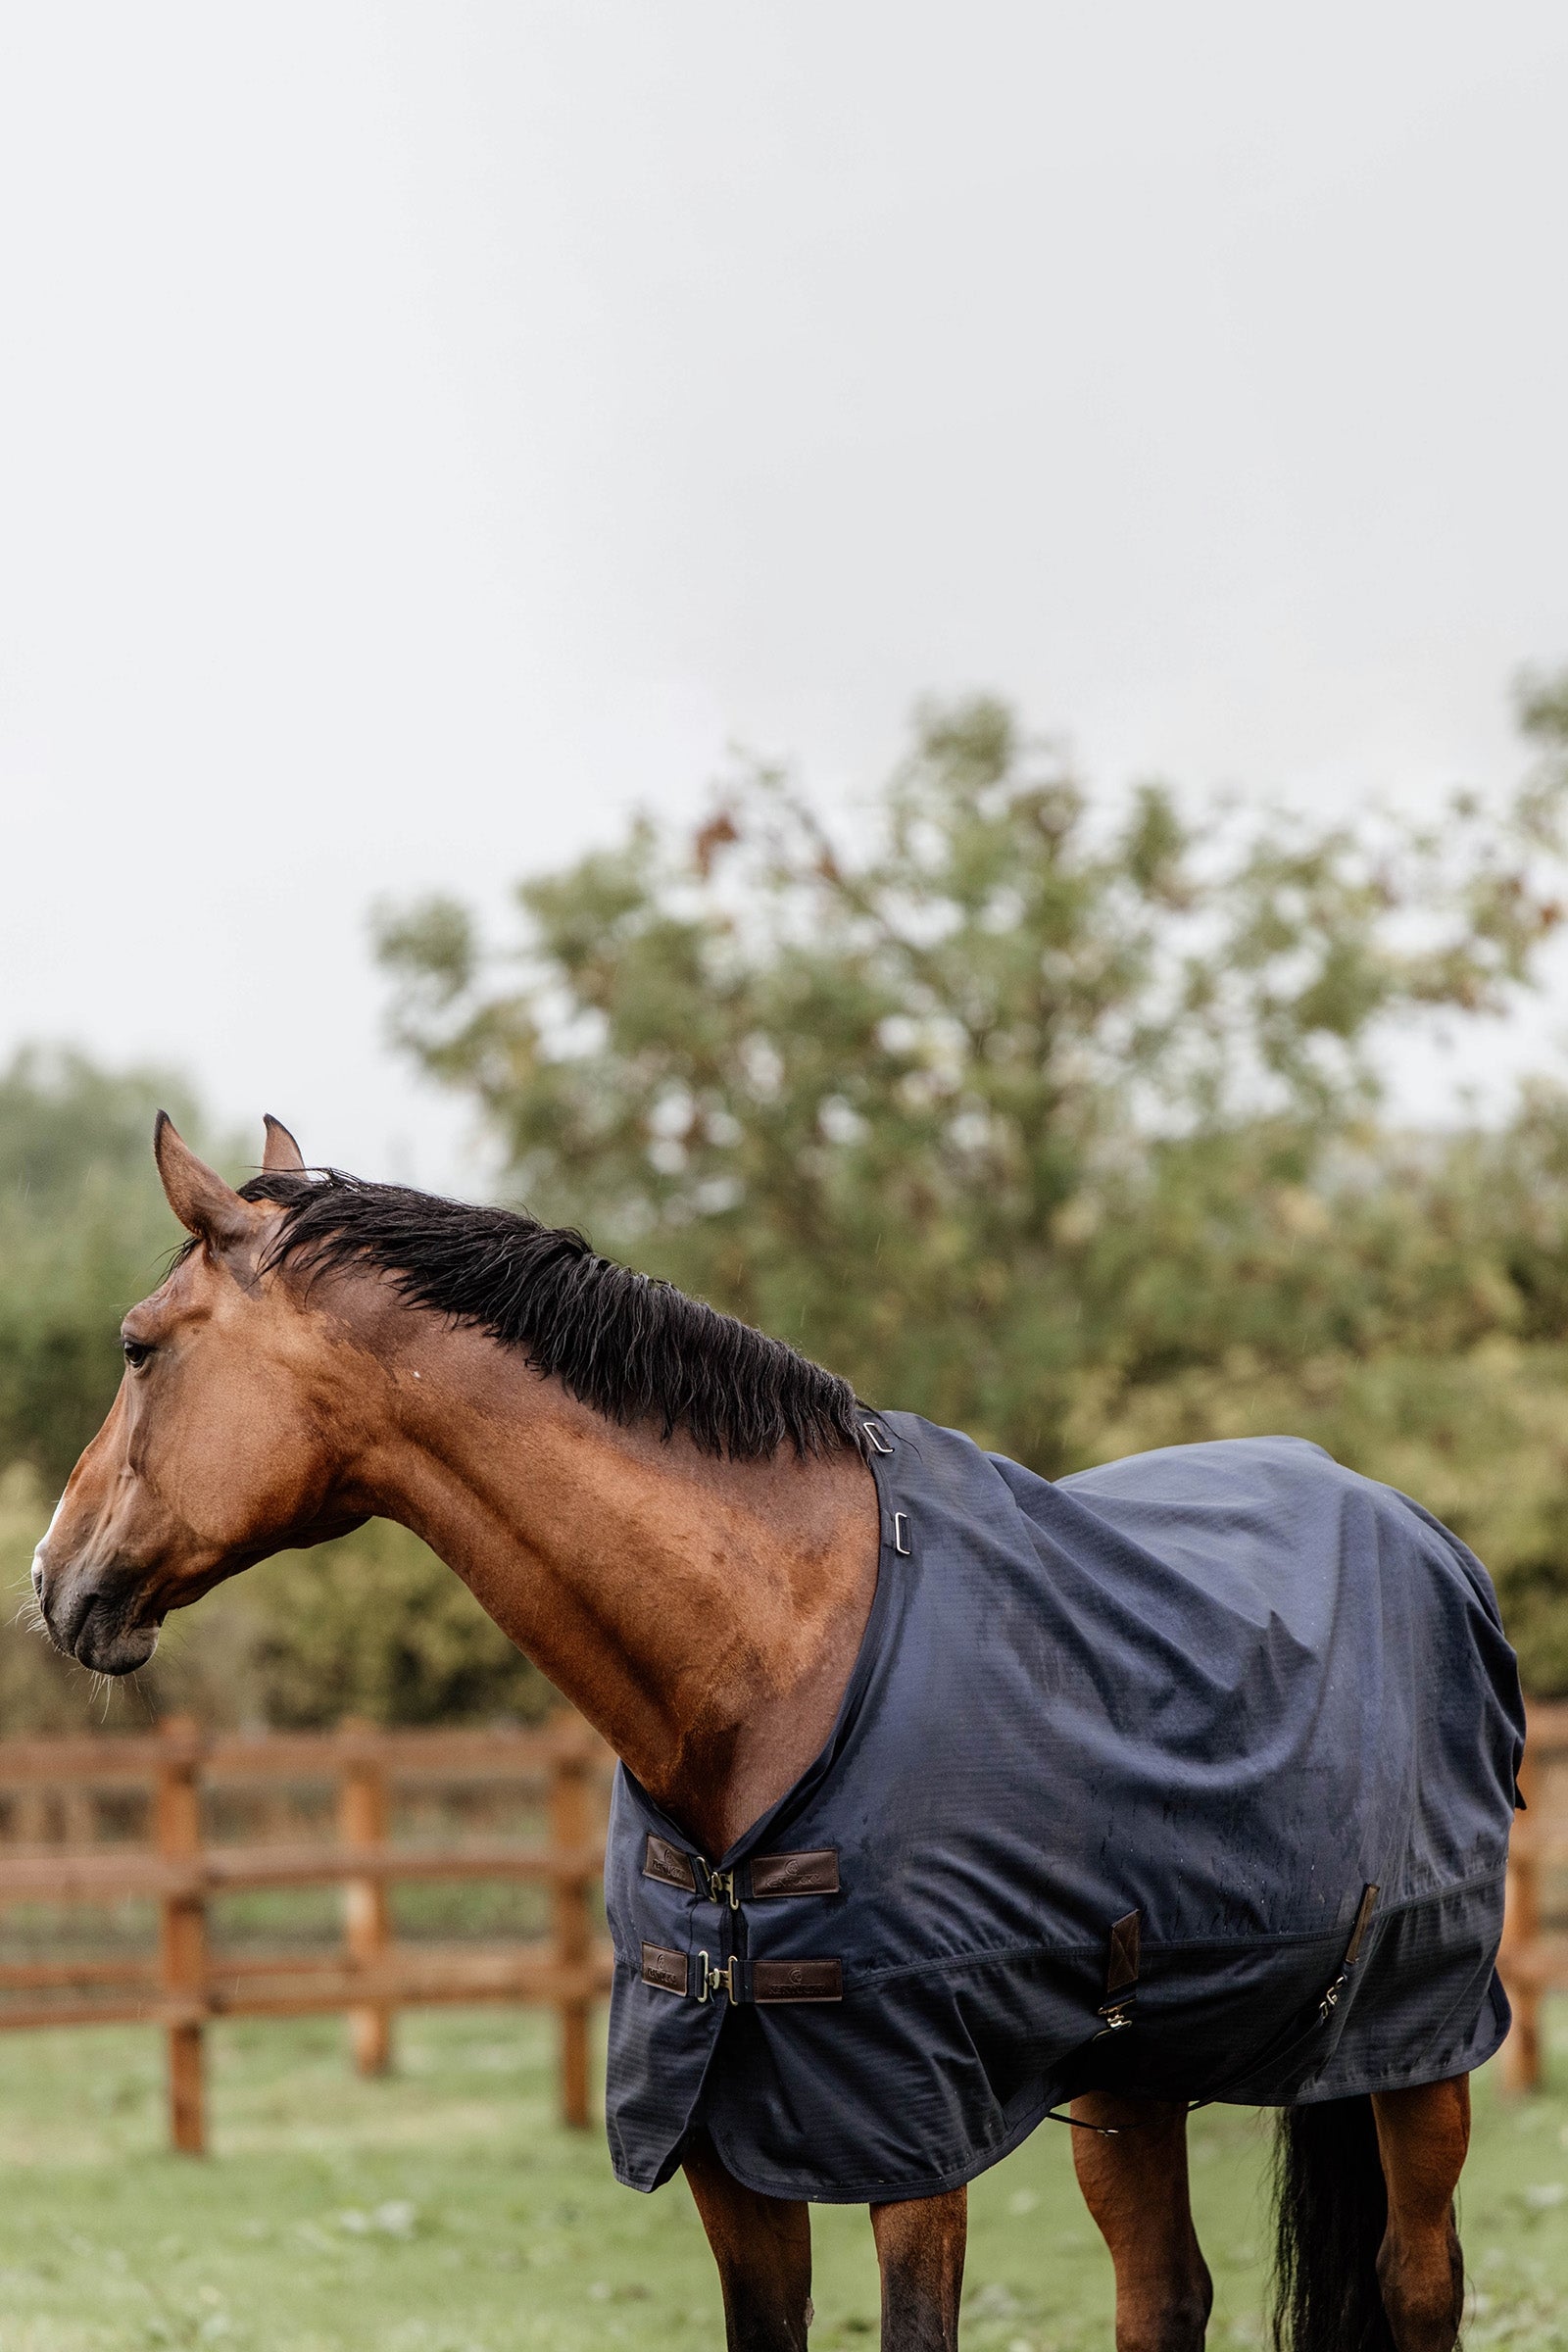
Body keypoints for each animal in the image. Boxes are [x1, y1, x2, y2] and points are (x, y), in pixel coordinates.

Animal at [32, 1112, 1522, 2352]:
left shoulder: (908, 2129)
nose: (52, 1579)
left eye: (138, 1345)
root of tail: (1413, 1527)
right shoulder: (723, 2138)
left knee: (1418, 2283)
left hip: (1421, 2049)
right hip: (1133, 2070)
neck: (770, 1656)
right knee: (1164, 2295)